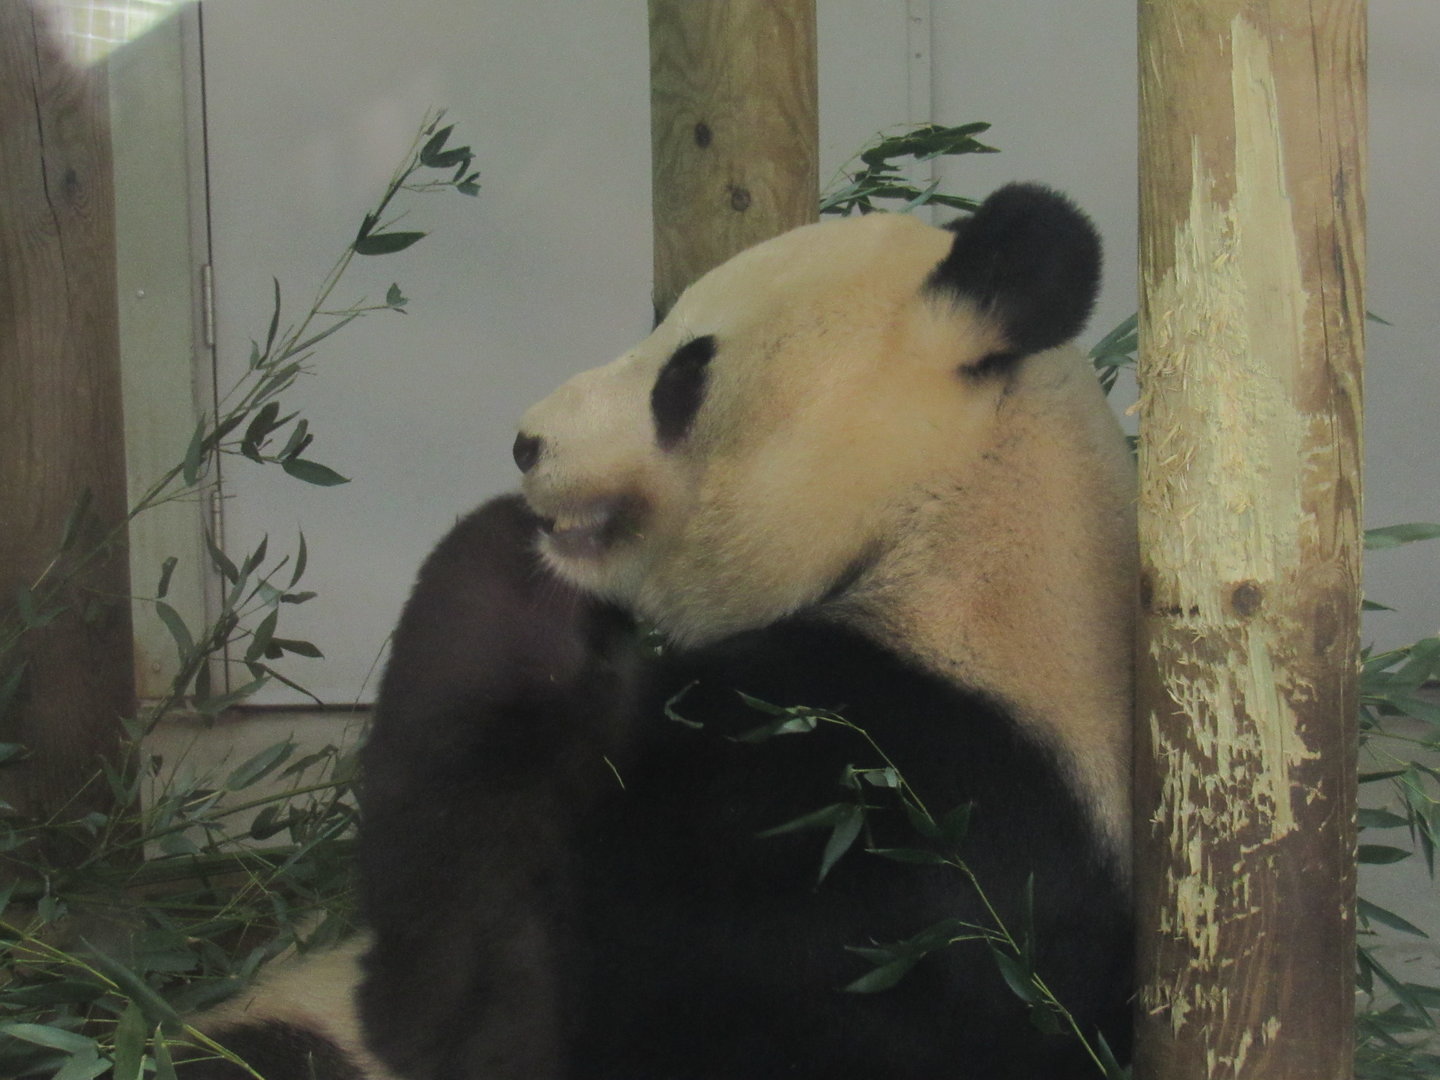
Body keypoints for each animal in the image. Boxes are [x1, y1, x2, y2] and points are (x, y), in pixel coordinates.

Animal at [186, 183, 1136, 1080]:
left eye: (683, 373)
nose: (527, 443)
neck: (950, 533)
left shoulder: (869, 819)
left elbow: (486, 987)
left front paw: (510, 569)